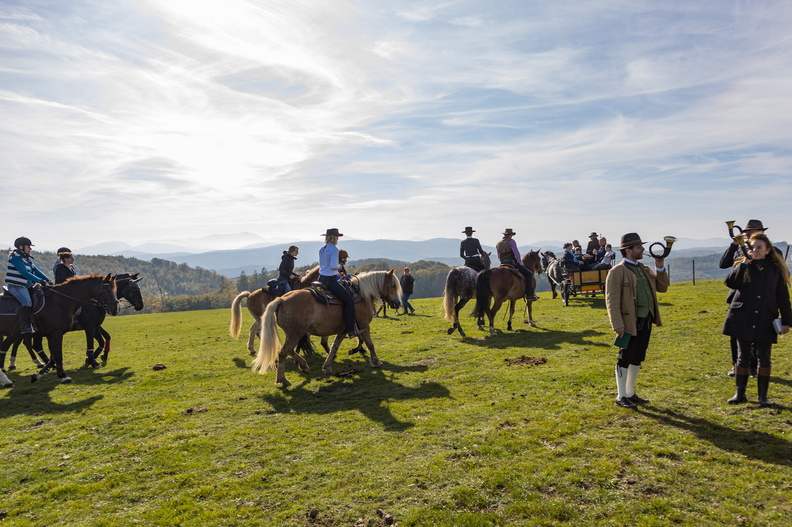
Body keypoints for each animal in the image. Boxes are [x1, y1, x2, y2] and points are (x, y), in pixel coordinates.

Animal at [252, 272, 402, 388]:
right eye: (393, 285)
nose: (398, 303)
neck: (361, 294)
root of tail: (282, 299)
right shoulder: (364, 326)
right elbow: (370, 344)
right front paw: (376, 362)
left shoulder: (343, 330)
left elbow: (334, 347)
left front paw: (327, 367)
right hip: (296, 334)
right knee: (283, 352)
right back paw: (283, 379)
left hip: (293, 334)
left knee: (287, 350)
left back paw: (303, 365)